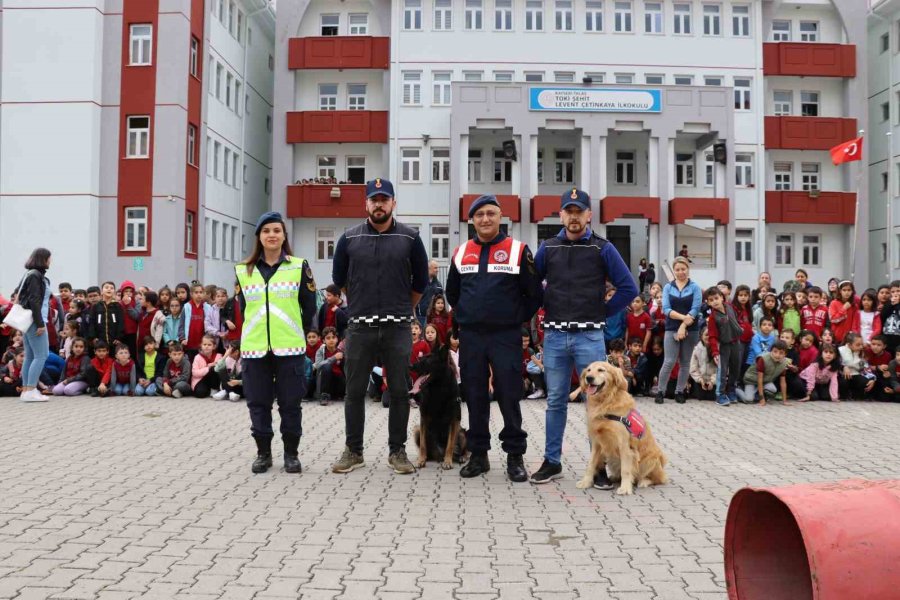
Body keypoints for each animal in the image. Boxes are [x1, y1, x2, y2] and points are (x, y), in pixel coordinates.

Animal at [572, 364, 664, 494]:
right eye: (588, 370)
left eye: (601, 370)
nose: (589, 378)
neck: (606, 403)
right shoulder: (596, 443)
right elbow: (591, 464)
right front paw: (586, 482)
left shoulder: (624, 445)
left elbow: (625, 469)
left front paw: (625, 488)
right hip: (612, 458)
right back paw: (614, 477)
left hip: (651, 460)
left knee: (657, 479)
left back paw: (644, 481)